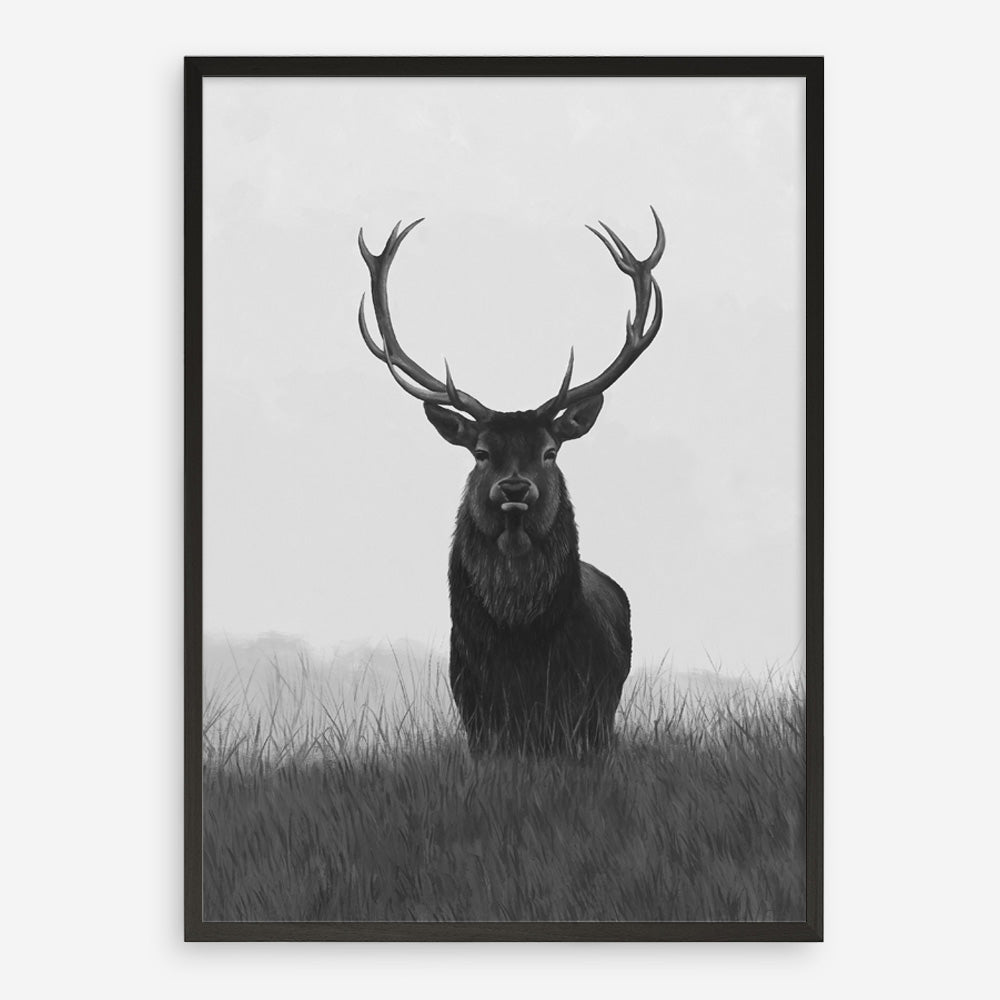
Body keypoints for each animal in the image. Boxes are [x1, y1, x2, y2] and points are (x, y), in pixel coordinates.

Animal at [357, 209, 665, 754]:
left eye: (549, 450)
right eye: (481, 453)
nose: (516, 489)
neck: (522, 650)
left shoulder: (587, 713)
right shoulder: (475, 711)